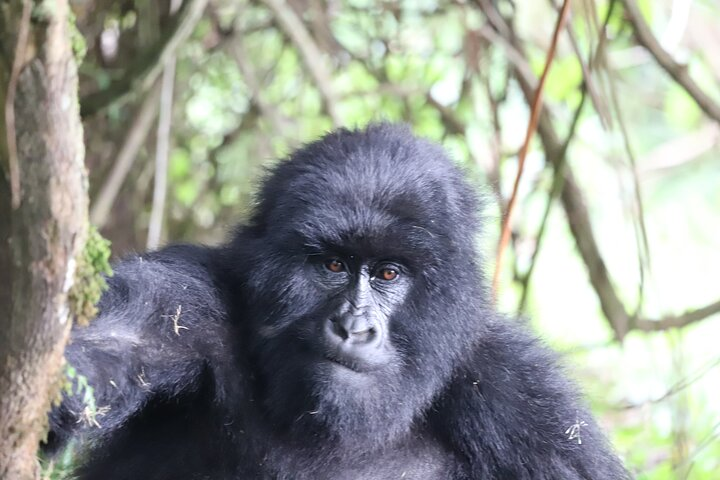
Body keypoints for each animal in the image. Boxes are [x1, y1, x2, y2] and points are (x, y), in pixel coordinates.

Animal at [46, 124, 632, 480]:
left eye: (389, 273)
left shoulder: (527, 399)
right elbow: (119, 338)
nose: (354, 327)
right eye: (333, 266)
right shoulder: (191, 300)